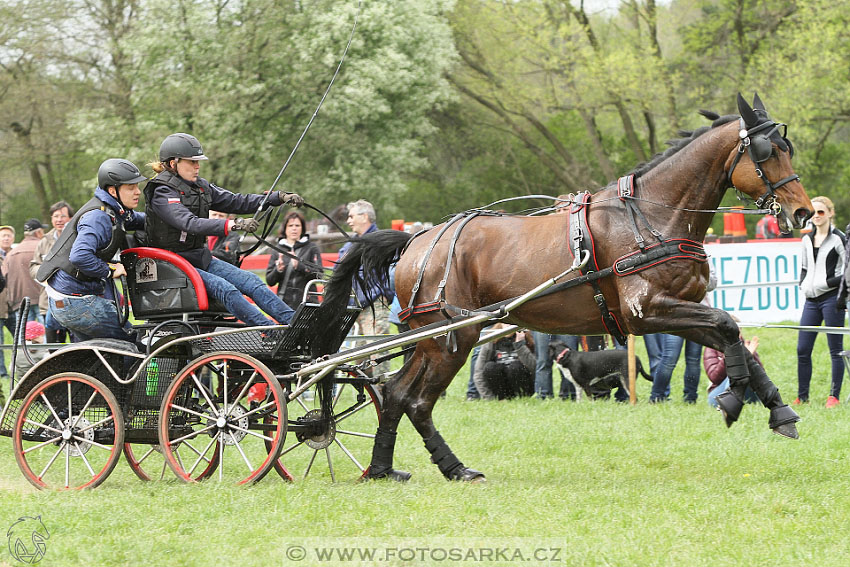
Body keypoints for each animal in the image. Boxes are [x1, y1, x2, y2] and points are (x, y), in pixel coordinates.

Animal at [308, 94, 812, 484]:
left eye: (786, 147)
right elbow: (727, 327)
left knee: (395, 394)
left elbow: (733, 336)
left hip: (433, 339)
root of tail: (417, 240)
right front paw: (734, 399)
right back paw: (444, 466)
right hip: (453, 337)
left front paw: (778, 410)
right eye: (767, 152)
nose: (804, 212)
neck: (650, 216)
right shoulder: (650, 312)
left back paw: (388, 468)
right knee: (416, 400)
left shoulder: (679, 309)